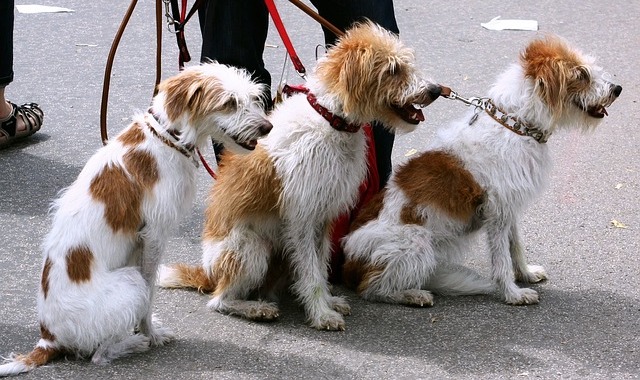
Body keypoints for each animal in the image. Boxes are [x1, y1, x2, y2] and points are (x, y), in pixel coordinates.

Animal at [0, 63, 270, 378]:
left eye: (253, 98)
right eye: (229, 103)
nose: (267, 127)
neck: (168, 137)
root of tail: (48, 337)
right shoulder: (153, 236)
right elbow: (150, 290)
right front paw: (149, 332)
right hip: (130, 283)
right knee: (99, 356)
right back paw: (135, 342)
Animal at [158, 21, 442, 330]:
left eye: (407, 63)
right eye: (393, 69)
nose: (436, 90)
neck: (330, 120)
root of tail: (208, 272)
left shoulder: (324, 217)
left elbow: (319, 265)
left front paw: (328, 302)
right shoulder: (302, 218)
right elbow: (311, 272)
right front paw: (321, 313)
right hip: (251, 248)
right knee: (218, 301)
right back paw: (255, 309)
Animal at [342, 35, 624, 308]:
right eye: (582, 74)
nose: (617, 89)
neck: (515, 125)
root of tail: (347, 265)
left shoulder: (510, 207)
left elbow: (516, 245)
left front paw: (526, 274)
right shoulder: (497, 213)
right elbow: (501, 259)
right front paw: (512, 293)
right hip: (415, 240)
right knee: (372, 289)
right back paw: (412, 295)